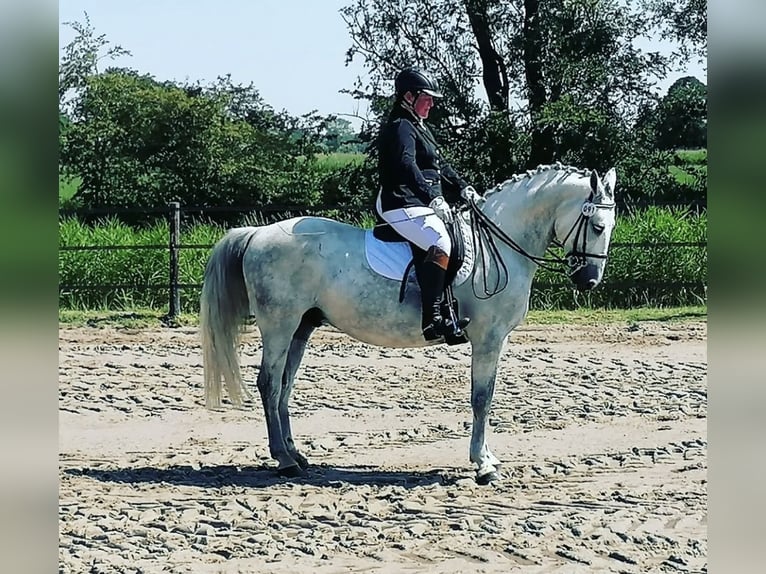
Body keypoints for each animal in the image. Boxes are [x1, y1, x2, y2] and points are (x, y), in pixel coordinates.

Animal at [202, 164, 616, 484]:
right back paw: (285, 461)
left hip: (301, 327)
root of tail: (257, 232)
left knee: (284, 387)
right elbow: (482, 397)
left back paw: (296, 454)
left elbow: (486, 397)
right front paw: (483, 465)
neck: (499, 244)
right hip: (279, 324)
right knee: (270, 384)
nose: (589, 281)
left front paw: (487, 459)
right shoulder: (488, 338)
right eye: (597, 226)